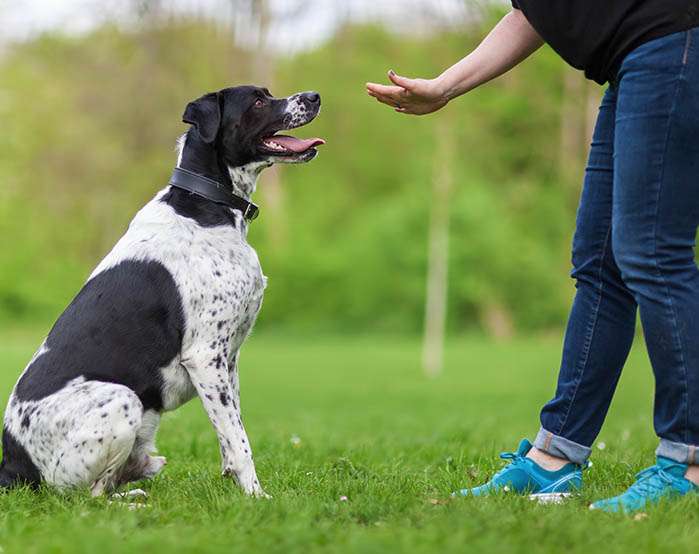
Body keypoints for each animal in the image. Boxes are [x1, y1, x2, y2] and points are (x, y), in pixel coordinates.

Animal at [0, 86, 324, 496]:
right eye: (258, 101)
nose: (314, 96)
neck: (206, 205)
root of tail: (11, 465)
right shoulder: (205, 355)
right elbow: (240, 442)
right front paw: (256, 496)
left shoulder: (227, 360)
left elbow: (229, 434)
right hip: (121, 400)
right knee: (88, 496)